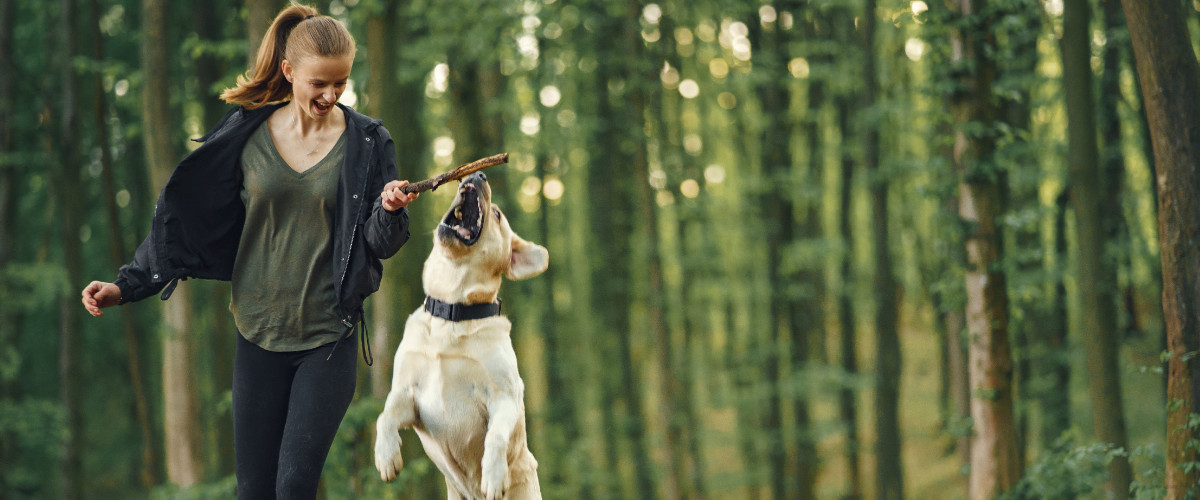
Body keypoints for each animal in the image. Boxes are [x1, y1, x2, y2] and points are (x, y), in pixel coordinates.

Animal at [374, 171, 549, 498]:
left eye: (497, 215)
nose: (478, 173)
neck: (452, 311)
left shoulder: (504, 397)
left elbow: (496, 437)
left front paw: (493, 475)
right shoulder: (408, 394)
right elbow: (386, 415)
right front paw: (386, 455)